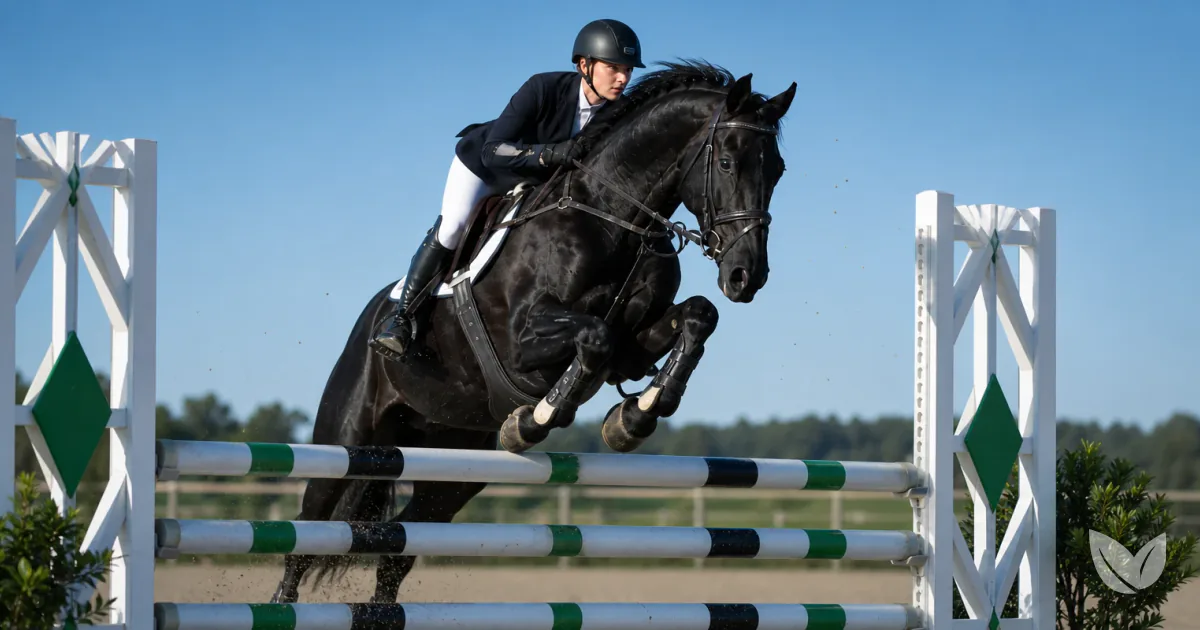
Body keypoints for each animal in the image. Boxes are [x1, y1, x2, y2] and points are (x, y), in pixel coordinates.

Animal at [271, 60, 796, 604]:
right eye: (728, 163)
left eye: (777, 170)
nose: (746, 276)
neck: (612, 217)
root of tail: (369, 320)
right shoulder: (523, 341)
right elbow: (594, 337)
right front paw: (538, 419)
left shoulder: (633, 349)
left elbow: (697, 316)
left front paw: (635, 415)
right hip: (348, 437)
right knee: (309, 529)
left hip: (458, 461)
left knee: (404, 538)